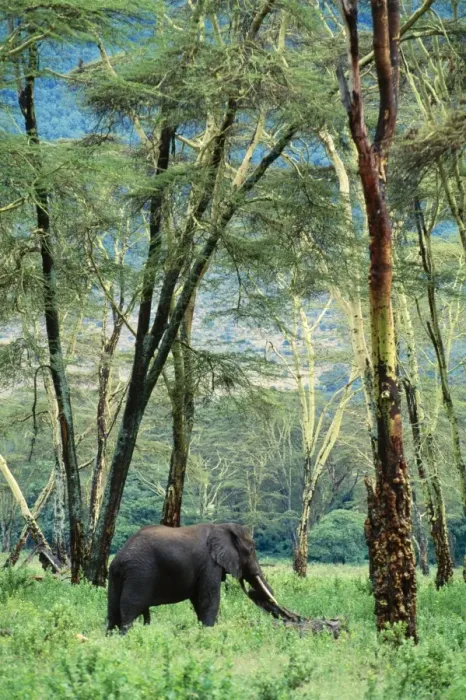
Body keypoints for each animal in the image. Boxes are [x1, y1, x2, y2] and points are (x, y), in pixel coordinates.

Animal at [107, 522, 278, 634]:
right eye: (251, 550)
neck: (221, 526)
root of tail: (120, 557)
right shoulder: (209, 563)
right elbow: (208, 599)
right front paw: (208, 634)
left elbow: (198, 600)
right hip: (139, 573)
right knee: (131, 608)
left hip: (116, 575)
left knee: (113, 609)